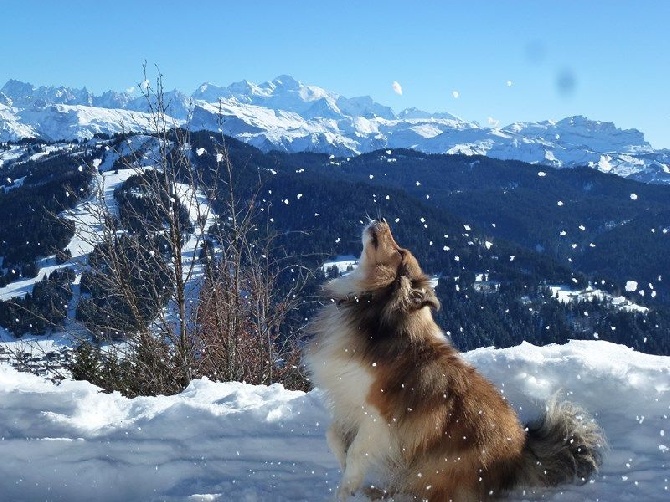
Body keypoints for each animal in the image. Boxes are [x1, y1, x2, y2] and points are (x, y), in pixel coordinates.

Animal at [306, 220, 608, 502]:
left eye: (400, 251)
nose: (382, 221)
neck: (374, 311)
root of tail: (521, 451)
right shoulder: (349, 404)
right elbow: (333, 436)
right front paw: (345, 467)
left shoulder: (378, 417)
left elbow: (357, 454)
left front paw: (345, 490)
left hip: (439, 467)